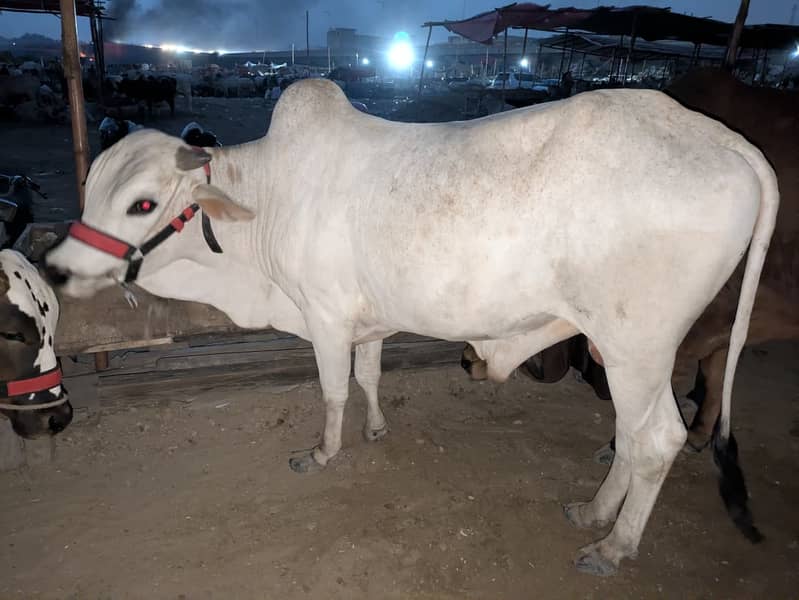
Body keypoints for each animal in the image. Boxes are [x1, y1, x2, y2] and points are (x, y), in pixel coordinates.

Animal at [43, 79, 778, 576]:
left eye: (142, 205)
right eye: (91, 190)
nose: (57, 266)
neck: (269, 196)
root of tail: (726, 140)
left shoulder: (325, 315)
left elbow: (333, 390)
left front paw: (323, 453)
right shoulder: (367, 321)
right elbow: (368, 378)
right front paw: (373, 430)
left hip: (637, 349)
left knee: (657, 440)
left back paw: (613, 544)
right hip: (622, 353)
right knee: (630, 435)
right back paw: (594, 512)